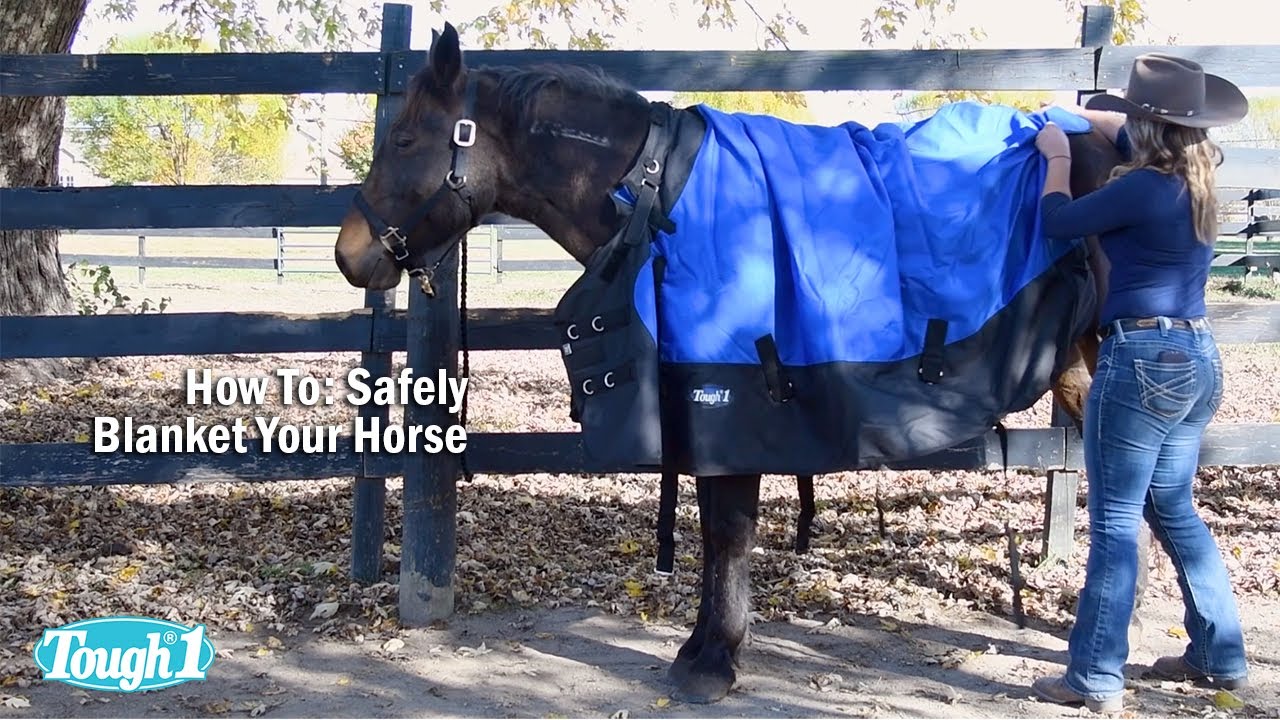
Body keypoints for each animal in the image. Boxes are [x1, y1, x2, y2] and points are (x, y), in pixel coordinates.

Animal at [334, 23, 1146, 704]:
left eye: (404, 138)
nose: (349, 254)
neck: (653, 194)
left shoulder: (733, 402)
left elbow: (727, 529)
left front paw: (712, 661)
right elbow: (715, 526)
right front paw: (704, 648)